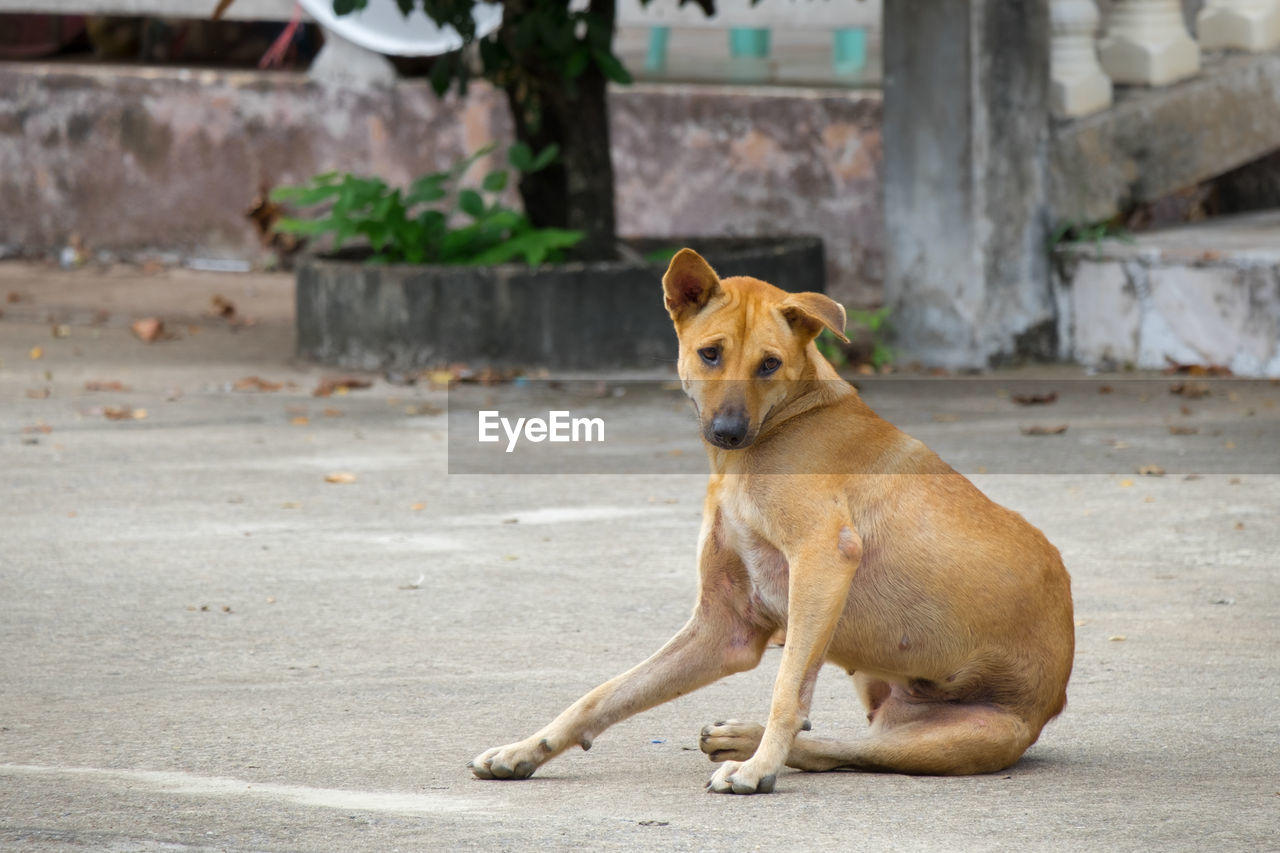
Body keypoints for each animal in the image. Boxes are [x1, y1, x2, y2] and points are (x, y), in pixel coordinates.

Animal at [468, 245, 1070, 788]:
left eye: (770, 363)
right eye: (711, 354)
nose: (729, 432)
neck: (780, 425)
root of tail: (1055, 698)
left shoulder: (825, 559)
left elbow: (787, 692)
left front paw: (759, 770)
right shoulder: (724, 628)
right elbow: (603, 695)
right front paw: (525, 750)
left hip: (951, 738)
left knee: (840, 749)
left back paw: (750, 749)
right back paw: (739, 739)